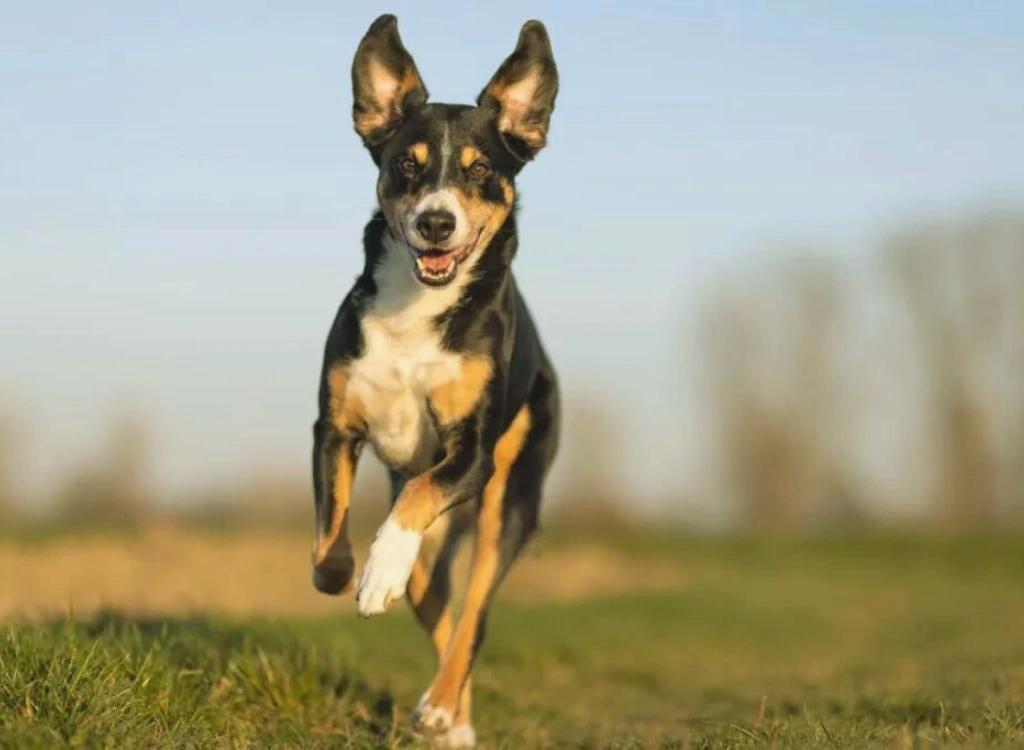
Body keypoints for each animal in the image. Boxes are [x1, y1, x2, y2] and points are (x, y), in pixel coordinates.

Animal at [311, 14, 565, 745]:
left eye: (481, 172)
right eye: (407, 165)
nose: (434, 221)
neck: (416, 312)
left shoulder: (471, 451)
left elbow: (422, 494)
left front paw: (376, 570)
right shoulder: (333, 426)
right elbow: (330, 527)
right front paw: (346, 572)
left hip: (508, 504)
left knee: (473, 619)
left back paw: (444, 705)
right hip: (437, 553)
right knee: (442, 610)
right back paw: (449, 718)